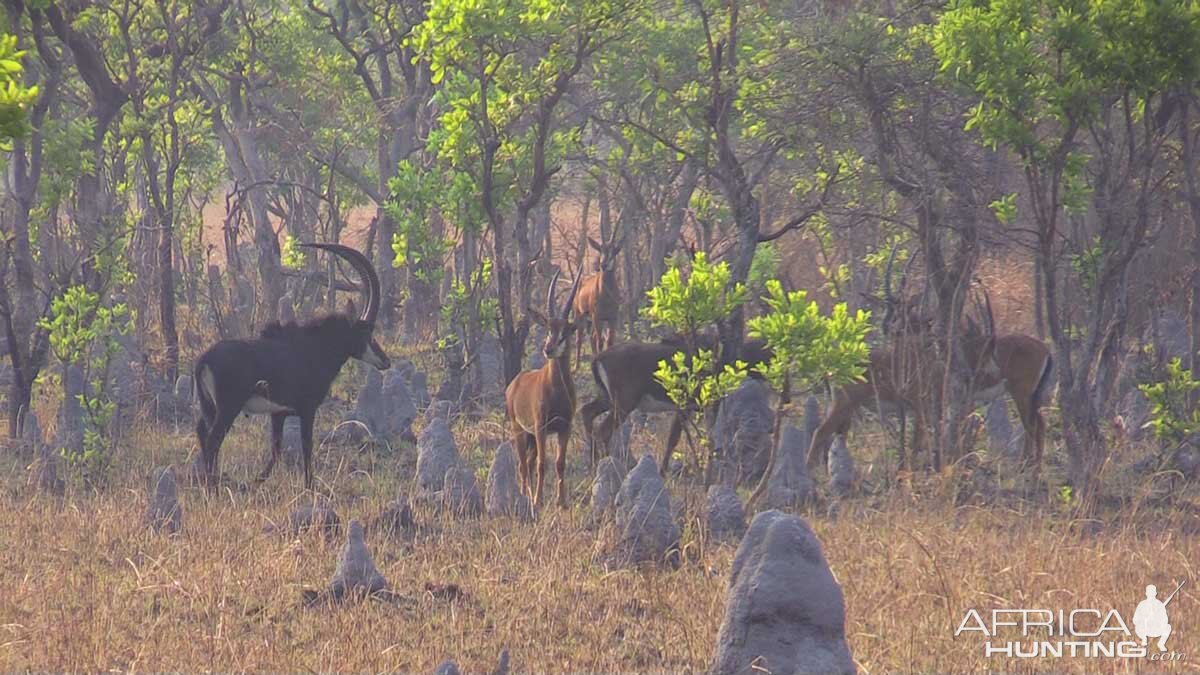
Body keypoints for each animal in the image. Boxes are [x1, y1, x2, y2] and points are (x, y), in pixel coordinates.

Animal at [192, 243, 388, 485]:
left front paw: (257, 481)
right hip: (228, 407)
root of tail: (204, 359)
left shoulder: (278, 413)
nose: (385, 361)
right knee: (213, 441)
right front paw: (309, 486)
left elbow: (276, 450)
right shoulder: (307, 409)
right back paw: (214, 485)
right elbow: (306, 448)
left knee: (203, 433)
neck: (315, 348)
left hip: (209, 406)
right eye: (367, 333)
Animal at [504, 267, 583, 504]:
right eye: (548, 328)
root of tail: (514, 384)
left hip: (530, 435)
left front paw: (561, 502)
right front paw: (538, 501)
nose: (548, 349)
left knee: (528, 464)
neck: (557, 390)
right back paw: (525, 497)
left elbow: (559, 463)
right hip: (520, 430)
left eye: (566, 331)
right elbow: (542, 464)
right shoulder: (541, 427)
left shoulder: (564, 427)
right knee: (523, 465)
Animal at [573, 228, 628, 360]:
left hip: (591, 321)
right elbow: (600, 342)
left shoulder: (612, 318)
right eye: (600, 249)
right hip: (580, 316)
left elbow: (610, 342)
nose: (603, 265)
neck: (607, 296)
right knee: (579, 340)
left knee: (592, 338)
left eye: (614, 250)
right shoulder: (598, 317)